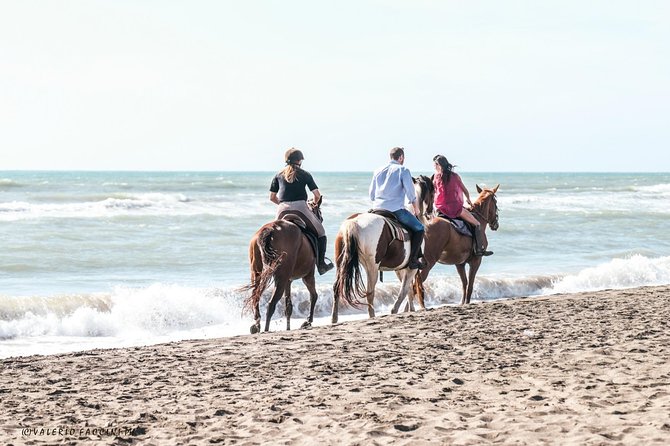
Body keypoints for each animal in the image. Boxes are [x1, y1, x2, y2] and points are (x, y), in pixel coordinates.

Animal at [244, 197, 326, 332]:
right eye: (320, 214)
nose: (321, 220)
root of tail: (270, 229)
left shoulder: (289, 280)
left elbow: (288, 306)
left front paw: (289, 327)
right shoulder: (307, 276)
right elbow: (313, 296)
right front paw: (308, 321)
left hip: (257, 273)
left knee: (256, 296)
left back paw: (256, 325)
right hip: (281, 278)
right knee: (271, 303)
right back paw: (266, 329)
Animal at [330, 177, 436, 320]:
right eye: (433, 192)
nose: (431, 212)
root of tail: (353, 223)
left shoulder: (400, 268)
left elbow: (407, 289)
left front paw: (409, 310)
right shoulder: (411, 268)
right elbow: (404, 290)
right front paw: (396, 310)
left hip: (340, 263)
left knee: (337, 287)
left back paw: (334, 319)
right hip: (372, 267)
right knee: (370, 292)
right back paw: (372, 316)